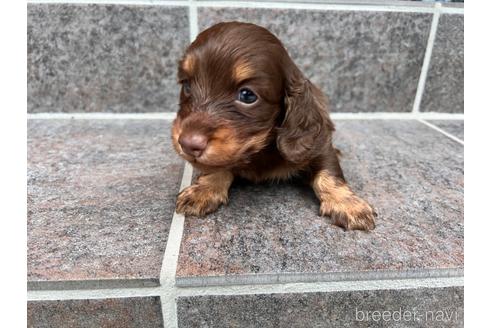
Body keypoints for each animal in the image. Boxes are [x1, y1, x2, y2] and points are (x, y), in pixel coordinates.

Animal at [171, 21, 374, 231]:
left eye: (247, 95)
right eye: (186, 85)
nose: (187, 144)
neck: (259, 149)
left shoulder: (319, 144)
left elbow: (329, 172)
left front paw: (347, 203)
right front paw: (204, 189)